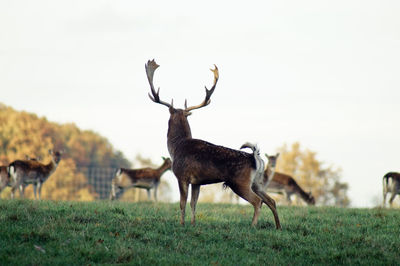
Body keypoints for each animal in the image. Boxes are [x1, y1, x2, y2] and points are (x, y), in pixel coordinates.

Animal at [146, 59, 282, 230]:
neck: (176, 147)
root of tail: (254, 157)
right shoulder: (197, 182)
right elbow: (193, 203)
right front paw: (193, 223)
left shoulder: (182, 176)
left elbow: (182, 203)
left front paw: (182, 224)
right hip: (258, 182)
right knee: (271, 200)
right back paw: (278, 227)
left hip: (240, 182)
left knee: (258, 202)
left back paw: (252, 226)